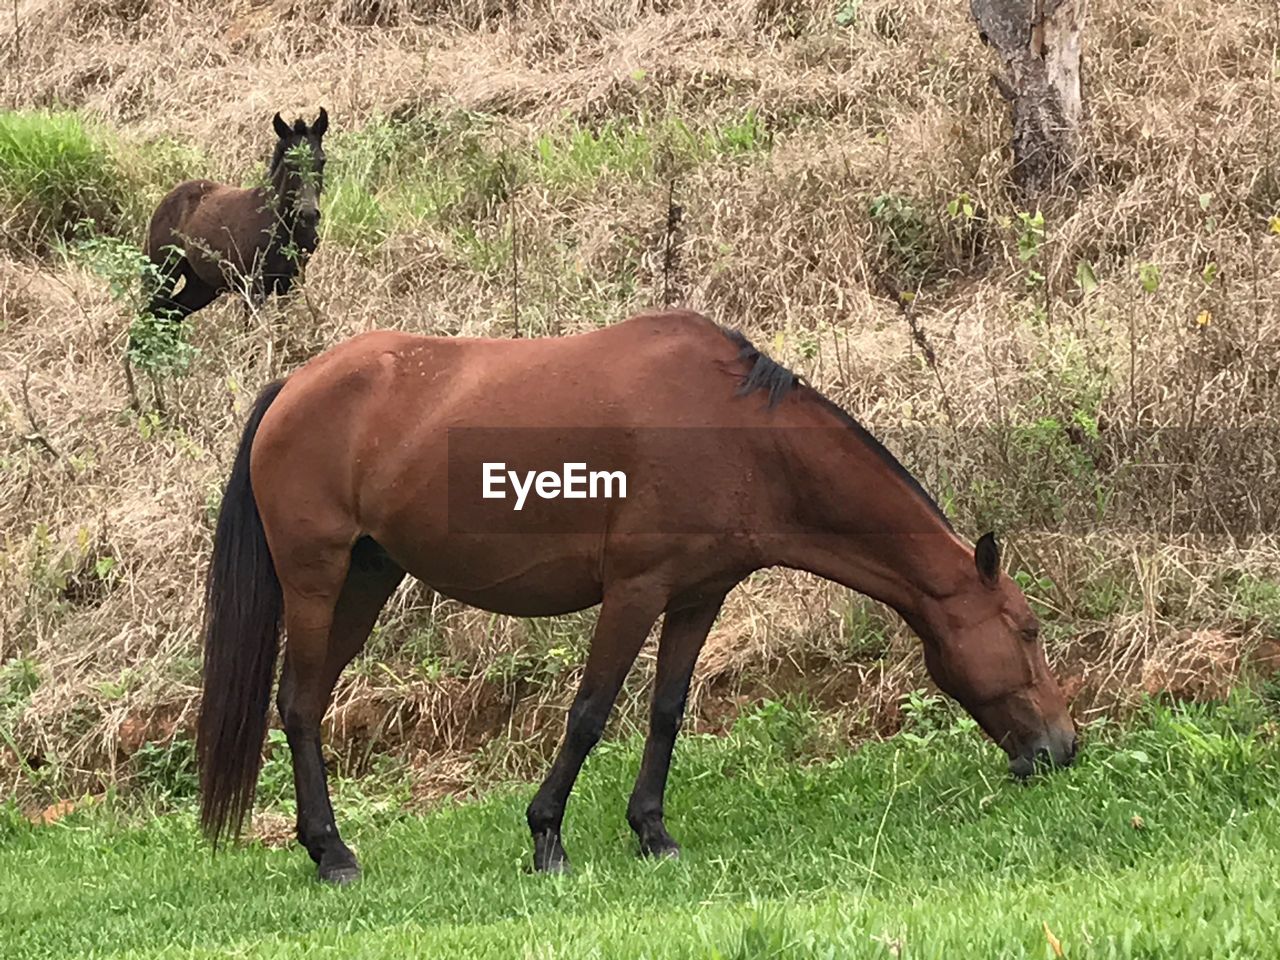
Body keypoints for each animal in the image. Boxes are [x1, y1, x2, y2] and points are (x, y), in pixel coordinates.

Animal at [142, 106, 330, 321]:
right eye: (290, 162)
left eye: (322, 161)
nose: (308, 214)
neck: (283, 227)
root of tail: (163, 202)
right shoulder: (254, 285)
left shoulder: (291, 281)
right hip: (162, 272)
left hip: (201, 286)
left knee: (171, 313)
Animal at [197, 312, 1080, 885]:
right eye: (1027, 630)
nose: (1064, 748)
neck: (738, 436)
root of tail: (295, 386)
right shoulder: (634, 592)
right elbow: (590, 712)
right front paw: (547, 838)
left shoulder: (697, 597)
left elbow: (665, 711)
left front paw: (652, 832)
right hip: (316, 582)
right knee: (299, 704)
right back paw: (332, 854)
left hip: (366, 580)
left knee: (309, 702)